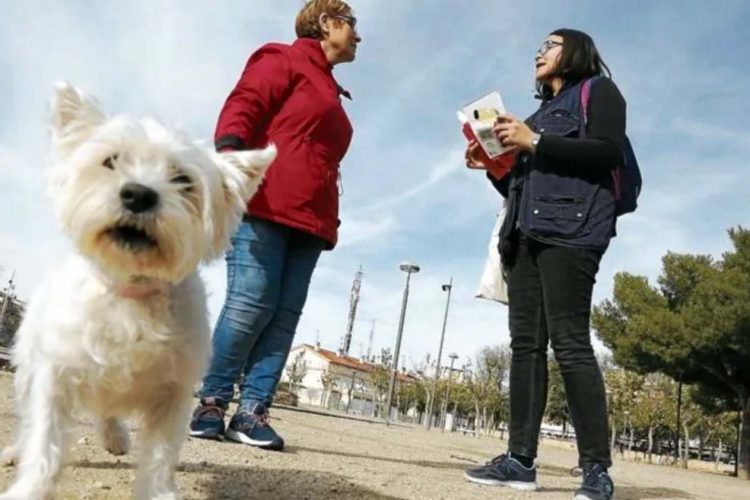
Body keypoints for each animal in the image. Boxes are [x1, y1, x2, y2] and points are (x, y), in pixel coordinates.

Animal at [0, 84, 276, 498]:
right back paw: (18, 448)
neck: (129, 290)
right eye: (110, 160)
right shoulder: (56, 376)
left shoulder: (173, 393)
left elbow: (160, 456)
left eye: (184, 180)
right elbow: (44, 440)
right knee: (30, 416)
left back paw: (114, 435)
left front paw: (157, 491)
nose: (138, 194)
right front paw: (30, 488)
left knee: (107, 411)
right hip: (28, 366)